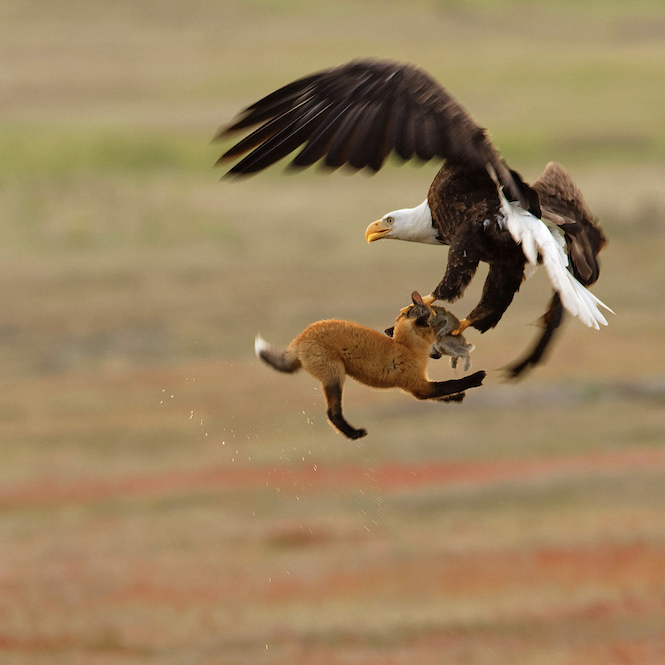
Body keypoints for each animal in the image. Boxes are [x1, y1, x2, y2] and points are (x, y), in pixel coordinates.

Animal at [253, 292, 482, 438]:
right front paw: (476, 377)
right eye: (436, 329)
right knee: (332, 413)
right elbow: (450, 383)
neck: (406, 346)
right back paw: (354, 434)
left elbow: (442, 393)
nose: (439, 352)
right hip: (335, 376)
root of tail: (300, 338)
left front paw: (456, 398)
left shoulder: (419, 386)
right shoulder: (417, 385)